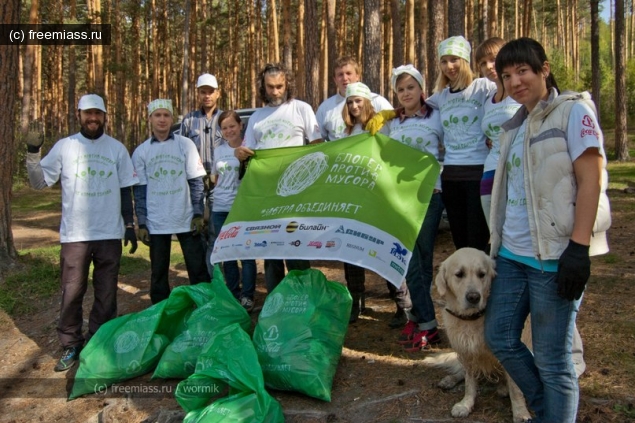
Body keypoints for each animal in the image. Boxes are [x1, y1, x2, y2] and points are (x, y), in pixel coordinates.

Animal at [424, 248, 536, 423]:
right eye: (459, 274)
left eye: (482, 274)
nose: (473, 297)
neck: (473, 318)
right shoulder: (466, 352)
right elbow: (470, 383)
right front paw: (466, 404)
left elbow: (516, 388)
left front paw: (520, 413)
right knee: (462, 372)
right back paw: (449, 380)